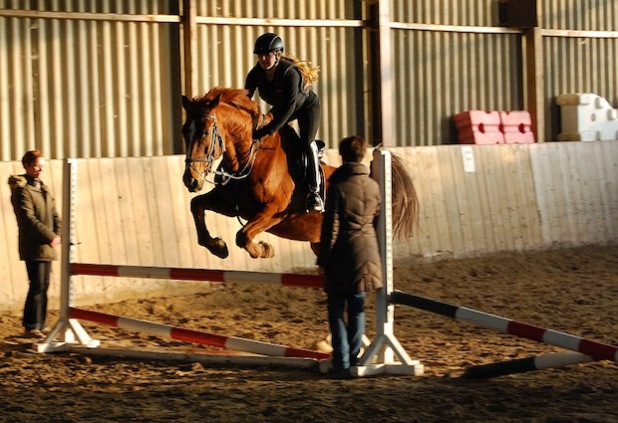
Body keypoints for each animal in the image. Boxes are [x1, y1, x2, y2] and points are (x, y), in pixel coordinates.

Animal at [180, 87, 416, 258]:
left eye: (205, 132)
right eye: (184, 132)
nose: (190, 180)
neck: (249, 160)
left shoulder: (273, 212)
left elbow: (243, 236)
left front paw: (265, 250)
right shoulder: (231, 205)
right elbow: (196, 205)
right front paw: (217, 246)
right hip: (320, 244)